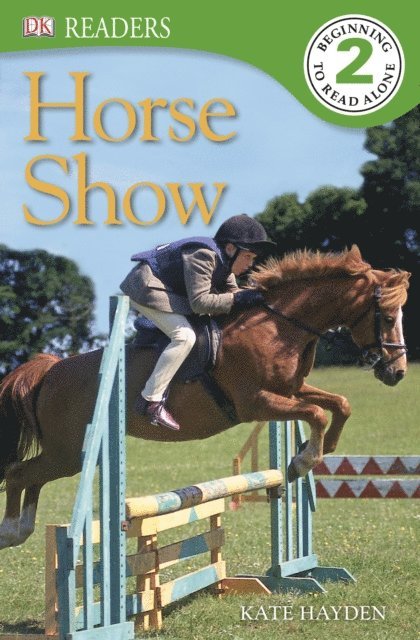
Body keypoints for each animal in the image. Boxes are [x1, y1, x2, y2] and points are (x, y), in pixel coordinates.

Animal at [0, 245, 410, 548]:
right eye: (389, 317)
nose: (398, 373)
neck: (277, 326)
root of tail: (50, 371)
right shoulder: (256, 402)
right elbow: (317, 413)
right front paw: (303, 460)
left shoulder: (289, 391)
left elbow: (338, 404)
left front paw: (319, 450)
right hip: (71, 453)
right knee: (20, 473)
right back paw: (11, 532)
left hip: (71, 453)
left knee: (31, 478)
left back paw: (21, 529)